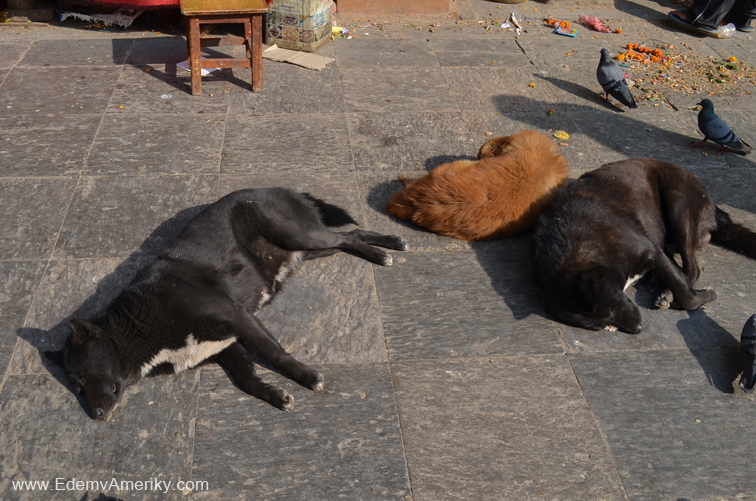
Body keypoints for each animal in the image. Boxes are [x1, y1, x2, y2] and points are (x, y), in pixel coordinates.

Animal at [47, 188, 408, 418]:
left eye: (84, 378)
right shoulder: (225, 346)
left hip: (299, 236)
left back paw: (385, 249)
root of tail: (284, 188)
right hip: (308, 251)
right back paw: (384, 246)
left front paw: (305, 376)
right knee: (349, 238)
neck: (139, 325)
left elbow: (275, 354)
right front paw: (274, 396)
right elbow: (247, 380)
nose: (95, 415)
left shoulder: (238, 318)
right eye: (76, 387)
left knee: (347, 235)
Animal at [532, 158, 756, 334]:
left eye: (611, 309)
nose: (638, 329)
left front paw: (705, 296)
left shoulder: (651, 252)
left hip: (677, 202)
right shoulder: (655, 254)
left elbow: (687, 298)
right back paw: (667, 292)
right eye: (602, 325)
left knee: (692, 269)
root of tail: (715, 211)